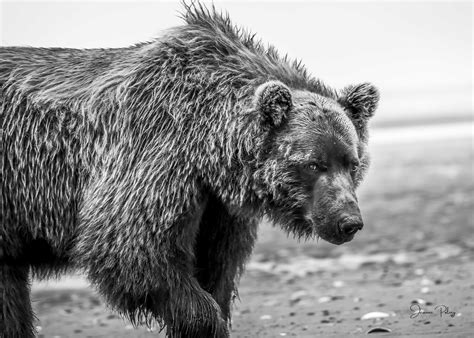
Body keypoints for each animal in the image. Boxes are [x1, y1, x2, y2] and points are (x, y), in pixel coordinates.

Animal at [0, 2, 378, 338]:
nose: (349, 222)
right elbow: (133, 249)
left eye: (353, 163)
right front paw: (205, 322)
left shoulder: (218, 206)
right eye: (314, 164)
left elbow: (217, 265)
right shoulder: (155, 155)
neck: (210, 149)